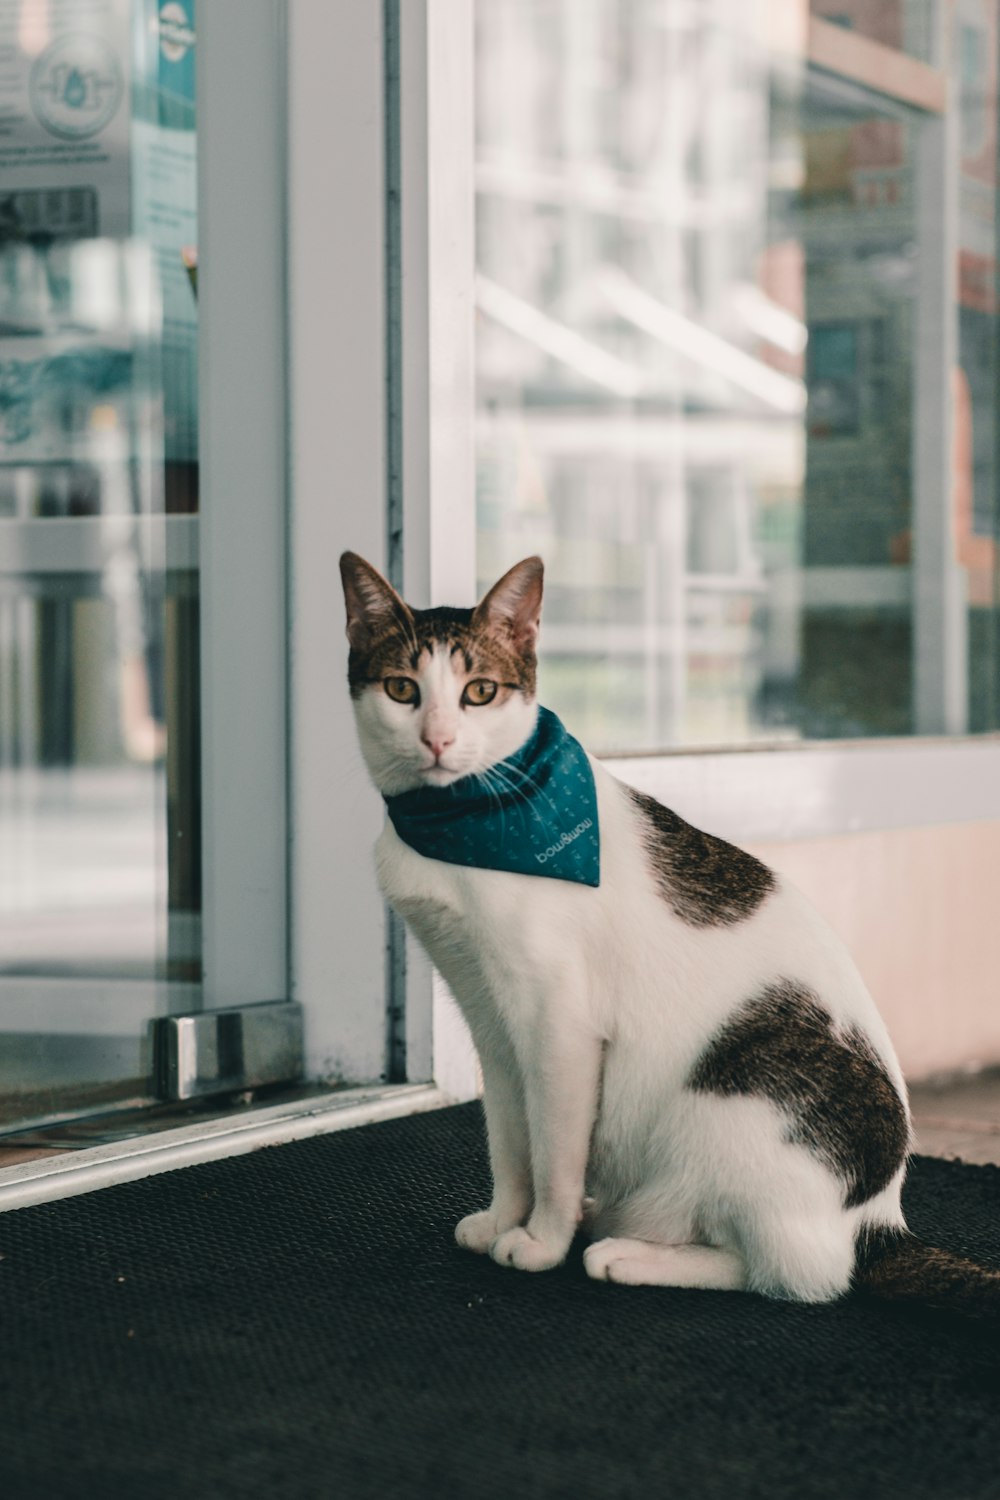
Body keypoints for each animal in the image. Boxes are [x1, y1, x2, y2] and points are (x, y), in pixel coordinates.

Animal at [341, 549, 1000, 1314]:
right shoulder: (491, 1018)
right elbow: (510, 1140)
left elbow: (554, 1153)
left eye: (479, 692)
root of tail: (880, 1219)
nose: (438, 740)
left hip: (737, 1094)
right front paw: (506, 1217)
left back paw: (625, 1253)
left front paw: (541, 1241)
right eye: (402, 689)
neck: (466, 820)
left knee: (793, 1275)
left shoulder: (560, 1025)